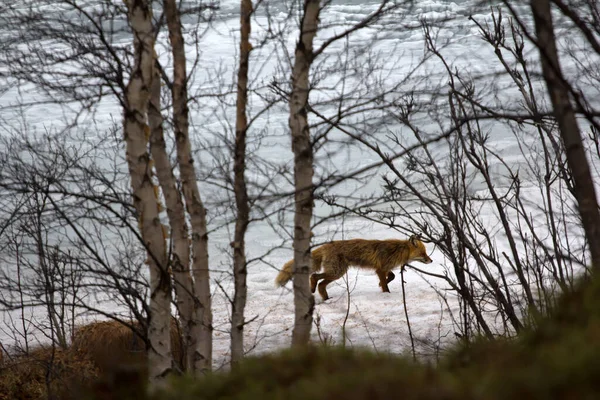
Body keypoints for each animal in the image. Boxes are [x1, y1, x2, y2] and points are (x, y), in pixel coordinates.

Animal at [274, 234, 434, 300]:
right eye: (423, 253)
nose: (431, 260)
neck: (397, 251)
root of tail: (325, 245)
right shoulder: (380, 269)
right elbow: (385, 284)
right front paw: (386, 294)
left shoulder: (384, 268)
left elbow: (392, 276)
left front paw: (380, 285)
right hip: (337, 272)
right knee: (314, 277)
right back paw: (314, 289)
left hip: (338, 273)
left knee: (321, 284)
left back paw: (326, 299)